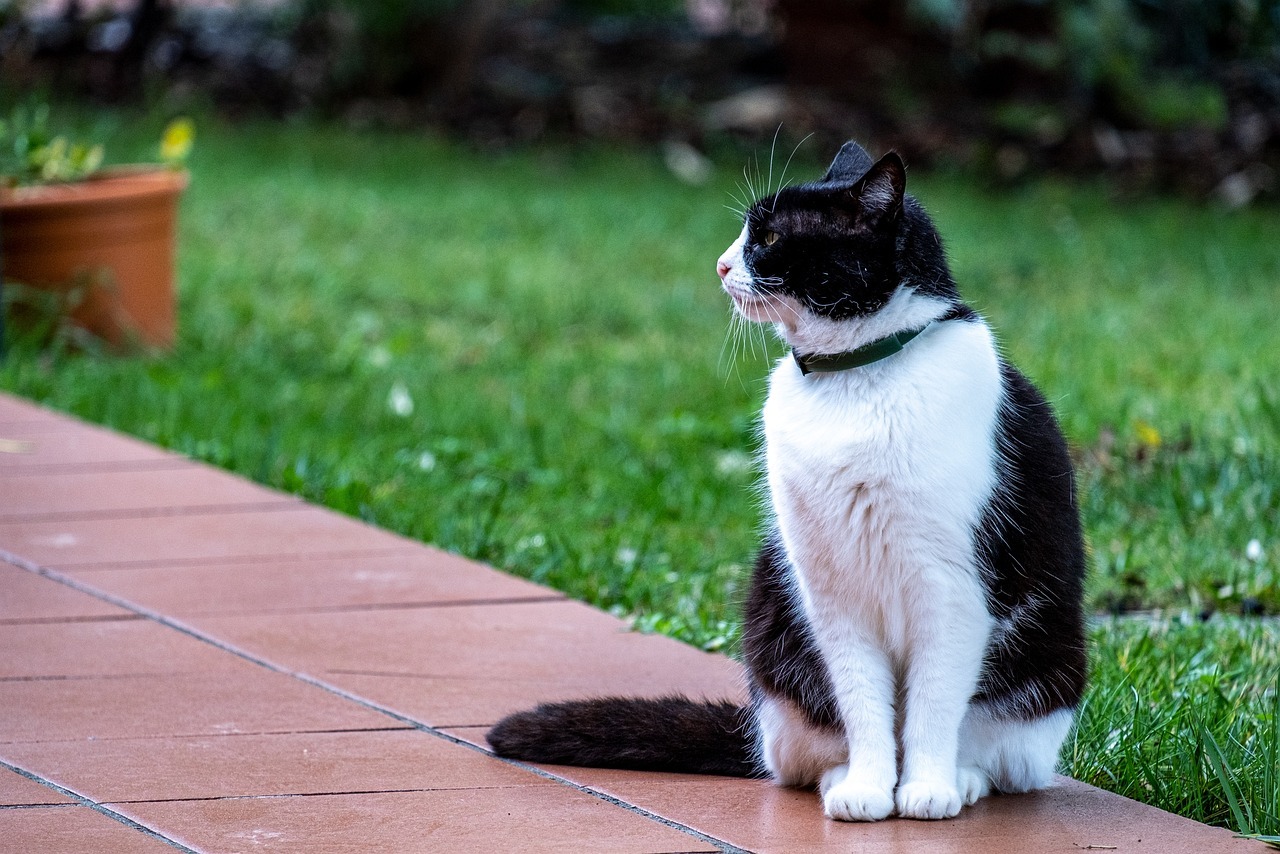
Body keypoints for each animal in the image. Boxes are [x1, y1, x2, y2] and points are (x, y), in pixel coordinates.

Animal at [483, 140, 1085, 819]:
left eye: (768, 236)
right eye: (747, 232)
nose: (719, 265)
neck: (854, 379)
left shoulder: (951, 586)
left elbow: (933, 704)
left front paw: (926, 789)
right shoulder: (828, 588)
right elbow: (862, 698)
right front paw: (868, 788)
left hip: (1042, 669)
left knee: (1000, 756)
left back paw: (962, 780)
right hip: (777, 628)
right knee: (802, 753)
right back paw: (843, 776)